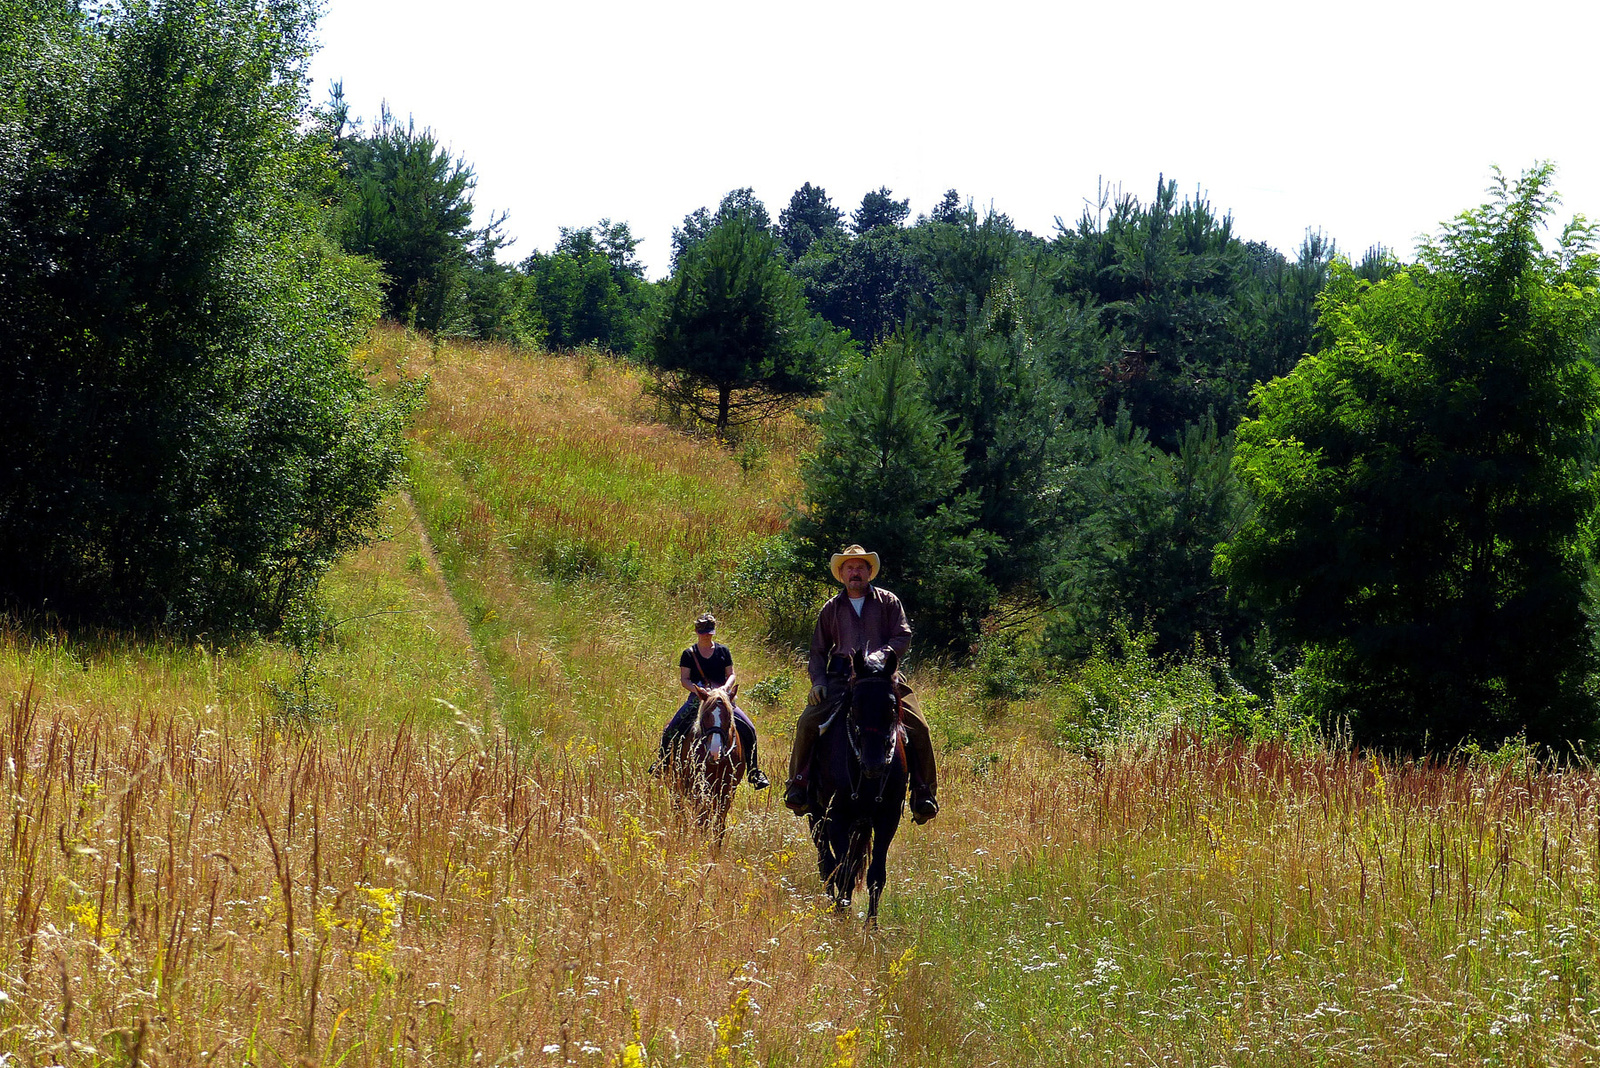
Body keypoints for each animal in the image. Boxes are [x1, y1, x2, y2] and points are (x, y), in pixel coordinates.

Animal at [675, 684, 748, 844]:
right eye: (706, 715)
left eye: (728, 716)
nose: (715, 752)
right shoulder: (699, 787)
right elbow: (703, 820)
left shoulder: (727, 790)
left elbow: (719, 823)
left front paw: (715, 846)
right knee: (679, 809)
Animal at [806, 652, 908, 927]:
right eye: (855, 705)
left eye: (891, 706)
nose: (875, 764)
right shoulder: (836, 817)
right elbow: (843, 871)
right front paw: (841, 917)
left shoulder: (888, 818)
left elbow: (876, 875)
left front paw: (871, 927)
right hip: (815, 815)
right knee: (827, 863)